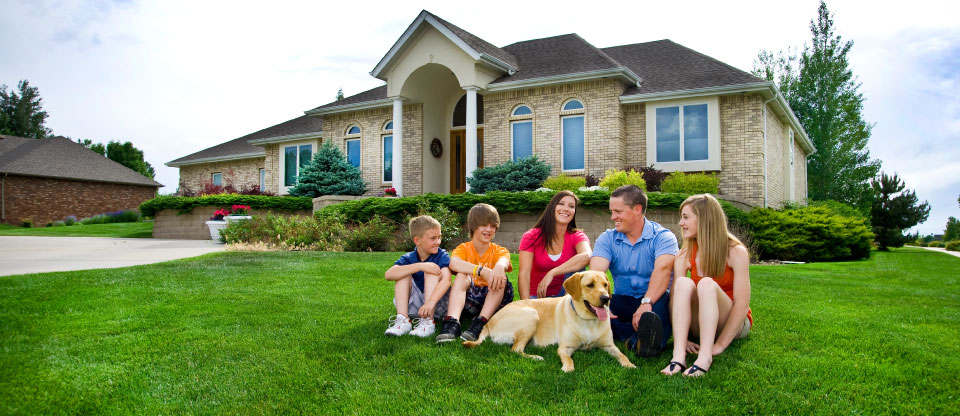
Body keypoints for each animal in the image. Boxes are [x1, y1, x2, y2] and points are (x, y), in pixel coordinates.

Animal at [462, 272, 632, 372]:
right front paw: (567, 368)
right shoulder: (565, 348)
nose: (606, 298)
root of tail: (488, 322)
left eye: (605, 285)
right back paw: (536, 357)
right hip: (531, 315)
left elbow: (622, 355)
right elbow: (569, 360)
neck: (588, 321)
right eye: (590, 285)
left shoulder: (609, 346)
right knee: (515, 350)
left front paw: (630, 365)